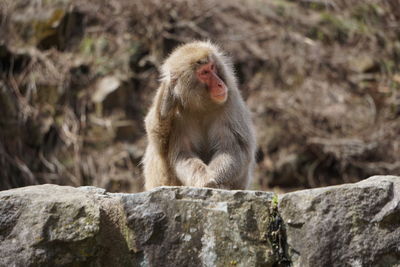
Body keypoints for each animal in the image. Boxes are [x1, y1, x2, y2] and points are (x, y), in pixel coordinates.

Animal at [143, 40, 256, 192]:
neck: (201, 105)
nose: (220, 84)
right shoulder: (178, 117)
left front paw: (213, 180)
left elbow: (231, 148)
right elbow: (180, 152)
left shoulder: (230, 101)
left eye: (212, 67)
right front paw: (165, 102)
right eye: (204, 72)